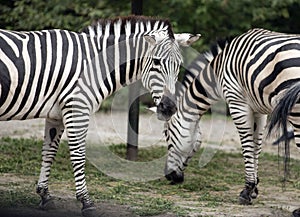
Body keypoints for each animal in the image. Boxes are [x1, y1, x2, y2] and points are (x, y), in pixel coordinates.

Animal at [0, 16, 202, 214]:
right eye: (156, 62)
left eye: (178, 66)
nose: (169, 108)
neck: (95, 63)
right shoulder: (77, 108)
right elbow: (78, 154)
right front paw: (86, 202)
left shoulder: (56, 114)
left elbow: (49, 152)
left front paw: (45, 195)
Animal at [163, 27, 300, 207]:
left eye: (166, 135)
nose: (168, 176)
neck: (218, 70)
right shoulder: (259, 110)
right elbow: (256, 145)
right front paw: (254, 188)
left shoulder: (237, 103)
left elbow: (247, 145)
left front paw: (247, 190)